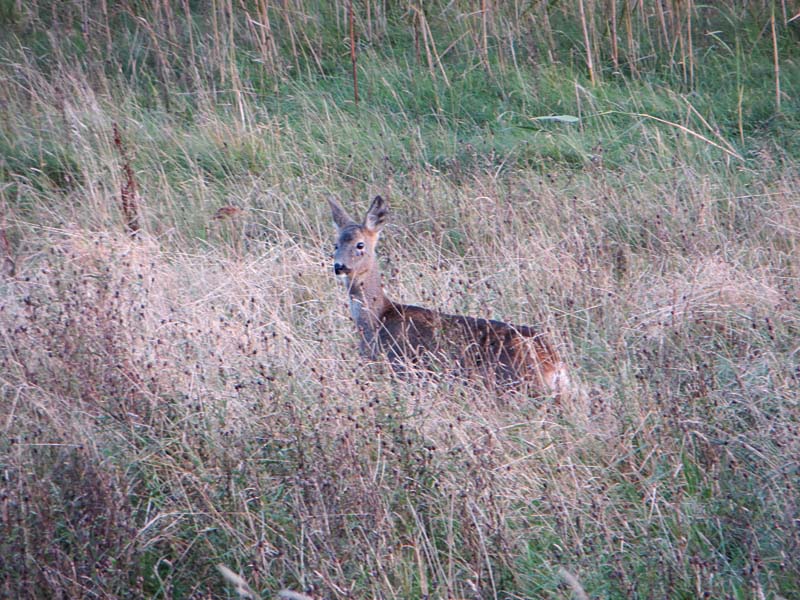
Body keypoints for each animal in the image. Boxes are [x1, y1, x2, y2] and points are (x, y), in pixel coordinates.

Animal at [326, 195, 568, 396]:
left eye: (360, 245)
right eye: (335, 245)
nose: (339, 266)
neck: (378, 319)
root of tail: (555, 364)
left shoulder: (400, 367)